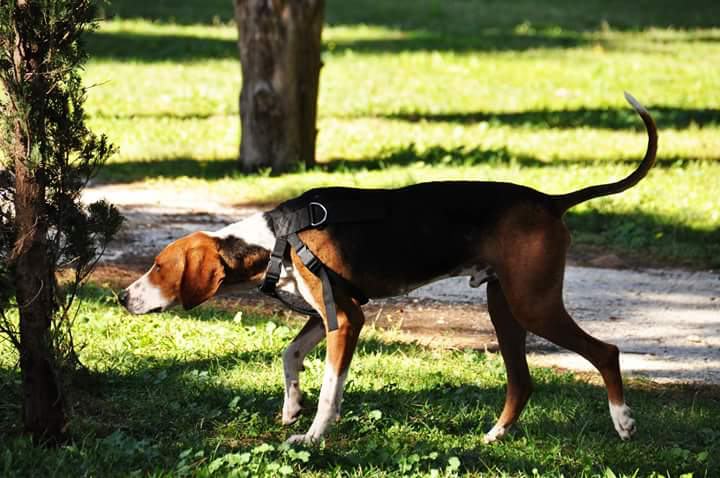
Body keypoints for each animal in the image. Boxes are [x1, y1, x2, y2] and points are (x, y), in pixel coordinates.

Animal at [121, 93, 656, 444]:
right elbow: (290, 356)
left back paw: (624, 422)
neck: (278, 236)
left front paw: (311, 437)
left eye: (158, 266)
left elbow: (329, 391)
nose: (122, 297)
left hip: (533, 305)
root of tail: (549, 200)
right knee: (522, 382)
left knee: (606, 352)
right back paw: (494, 436)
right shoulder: (328, 314)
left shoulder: (346, 320)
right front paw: (292, 407)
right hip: (504, 308)